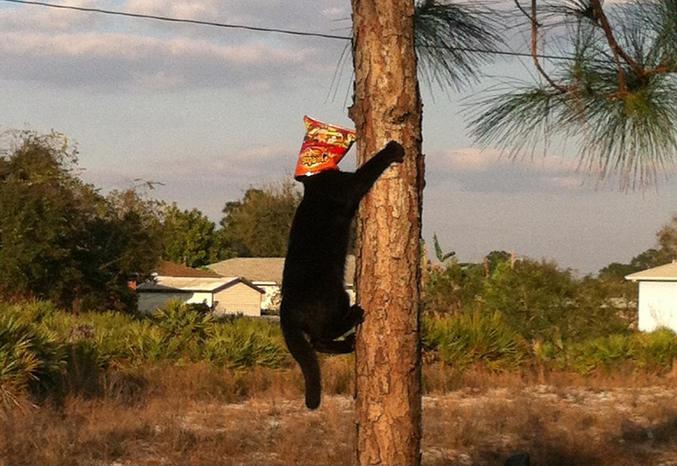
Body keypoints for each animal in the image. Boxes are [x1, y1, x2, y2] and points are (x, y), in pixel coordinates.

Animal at [278, 140, 402, 410]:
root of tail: (285, 309)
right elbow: (368, 169)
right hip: (336, 296)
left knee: (317, 341)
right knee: (323, 333)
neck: (314, 184)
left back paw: (348, 343)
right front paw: (393, 148)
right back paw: (355, 317)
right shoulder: (346, 189)